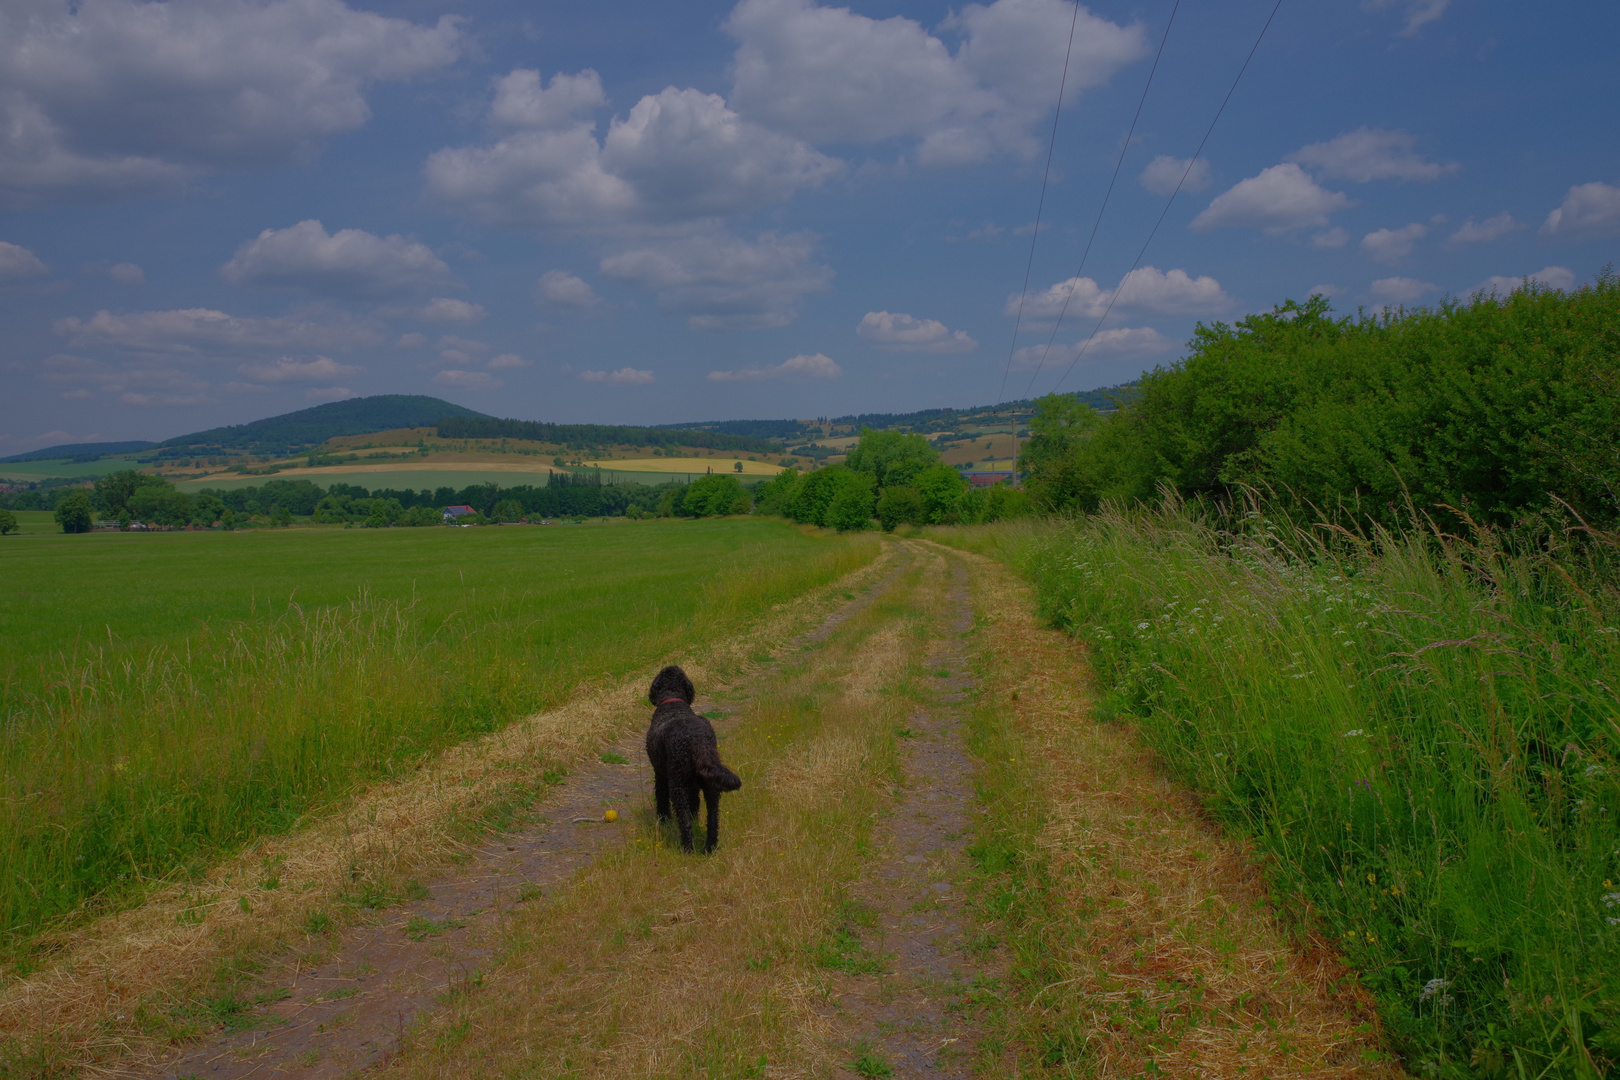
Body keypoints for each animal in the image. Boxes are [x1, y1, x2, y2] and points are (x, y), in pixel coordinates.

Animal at [648, 667, 741, 854]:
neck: (672, 700)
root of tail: (697, 740)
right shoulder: (694, 786)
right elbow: (695, 804)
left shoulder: (660, 774)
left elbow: (661, 798)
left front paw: (663, 819)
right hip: (711, 788)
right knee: (713, 821)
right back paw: (709, 848)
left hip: (678, 785)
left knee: (683, 820)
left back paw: (687, 848)